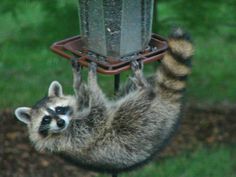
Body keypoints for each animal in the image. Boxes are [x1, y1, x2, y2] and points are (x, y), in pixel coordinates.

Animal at [14, 28, 194, 174]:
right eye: (46, 119)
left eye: (59, 109)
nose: (60, 123)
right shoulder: (73, 137)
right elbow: (97, 112)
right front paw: (92, 80)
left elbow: (84, 99)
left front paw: (78, 81)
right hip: (140, 122)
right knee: (132, 106)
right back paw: (143, 85)